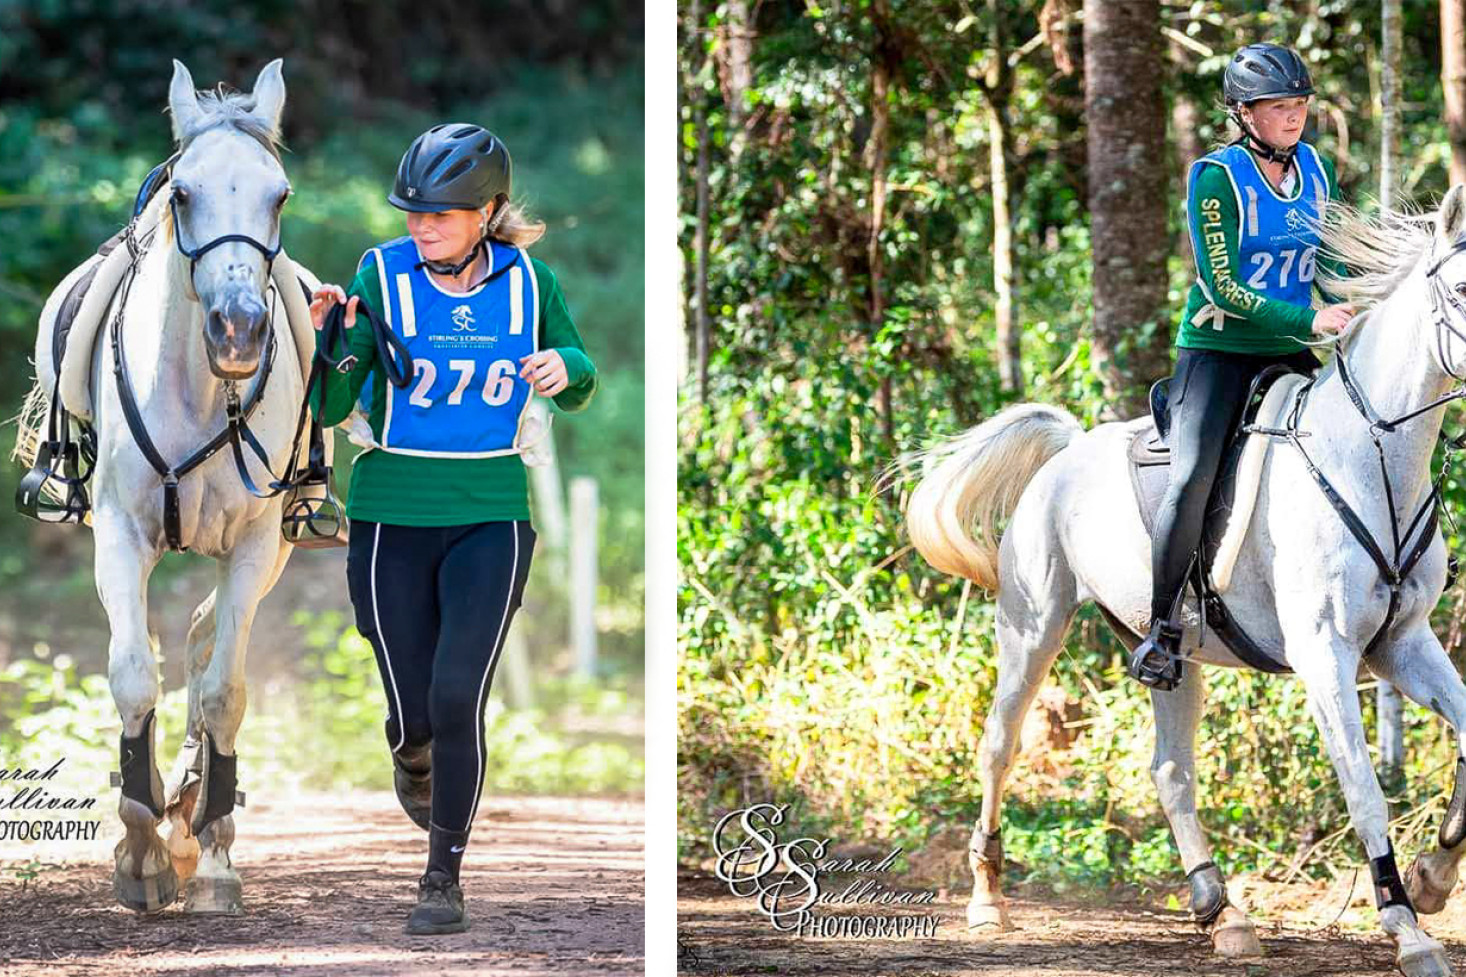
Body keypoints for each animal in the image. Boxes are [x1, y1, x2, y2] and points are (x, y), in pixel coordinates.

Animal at [15, 59, 319, 915]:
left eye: (279, 194)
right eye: (183, 193)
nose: (239, 332)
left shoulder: (253, 547)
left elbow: (224, 692)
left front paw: (209, 853)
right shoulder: (119, 534)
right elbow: (131, 675)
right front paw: (142, 849)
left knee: (207, 647)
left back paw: (194, 814)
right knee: (162, 651)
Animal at [897, 184, 1466, 974]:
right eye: (1463, 290)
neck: (1371, 455)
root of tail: (1067, 451)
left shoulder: (1402, 643)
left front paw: (1433, 876)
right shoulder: (1325, 654)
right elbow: (1364, 787)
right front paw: (1408, 927)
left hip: (1172, 651)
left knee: (1170, 768)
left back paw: (1220, 908)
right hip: (1032, 626)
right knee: (999, 744)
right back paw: (988, 899)